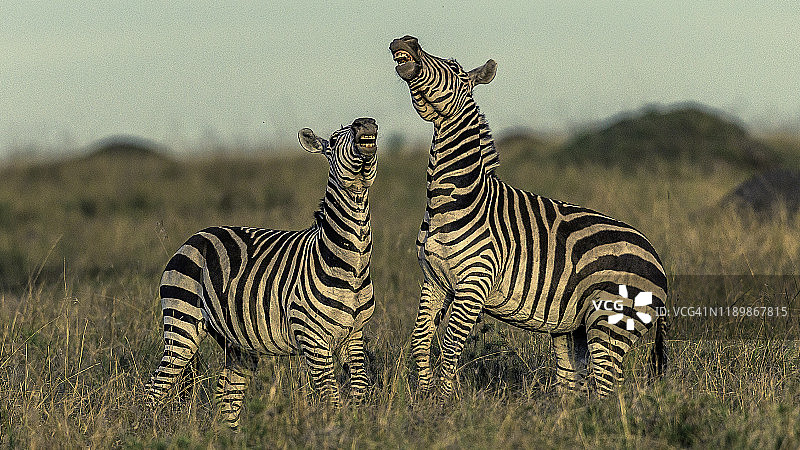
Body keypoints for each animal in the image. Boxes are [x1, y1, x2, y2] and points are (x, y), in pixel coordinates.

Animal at [146, 118, 382, 428]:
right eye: (332, 140)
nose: (365, 123)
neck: (349, 262)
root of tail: (196, 236)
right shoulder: (312, 337)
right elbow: (331, 399)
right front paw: (336, 429)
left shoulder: (355, 334)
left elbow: (360, 391)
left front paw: (358, 427)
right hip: (181, 322)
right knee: (156, 386)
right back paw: (142, 427)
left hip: (236, 342)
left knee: (227, 395)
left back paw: (230, 435)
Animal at [390, 36, 664, 400]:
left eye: (456, 69)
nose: (406, 41)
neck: (453, 198)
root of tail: (657, 258)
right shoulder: (434, 280)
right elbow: (420, 342)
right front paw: (423, 398)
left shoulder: (475, 281)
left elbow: (450, 346)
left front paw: (445, 402)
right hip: (572, 327)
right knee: (573, 381)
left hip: (610, 323)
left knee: (610, 385)